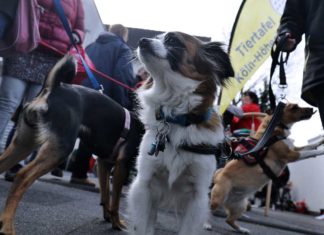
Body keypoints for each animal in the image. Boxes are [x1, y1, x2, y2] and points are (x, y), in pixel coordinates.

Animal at [126, 31, 233, 235]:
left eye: (173, 40)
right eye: (156, 37)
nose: (142, 40)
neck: (177, 118)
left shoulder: (197, 197)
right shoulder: (144, 185)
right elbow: (143, 227)